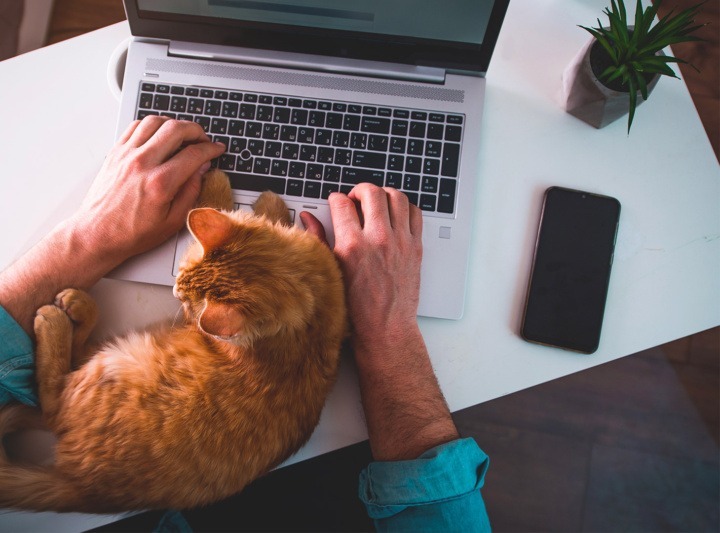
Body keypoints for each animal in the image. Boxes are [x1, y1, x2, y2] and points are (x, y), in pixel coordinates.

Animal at [0, 170, 346, 512]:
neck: (309, 316)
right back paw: (77, 307)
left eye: (187, 303)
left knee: (51, 397)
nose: (176, 294)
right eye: (178, 277)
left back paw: (60, 316)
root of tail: (81, 486)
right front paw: (265, 200)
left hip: (117, 362)